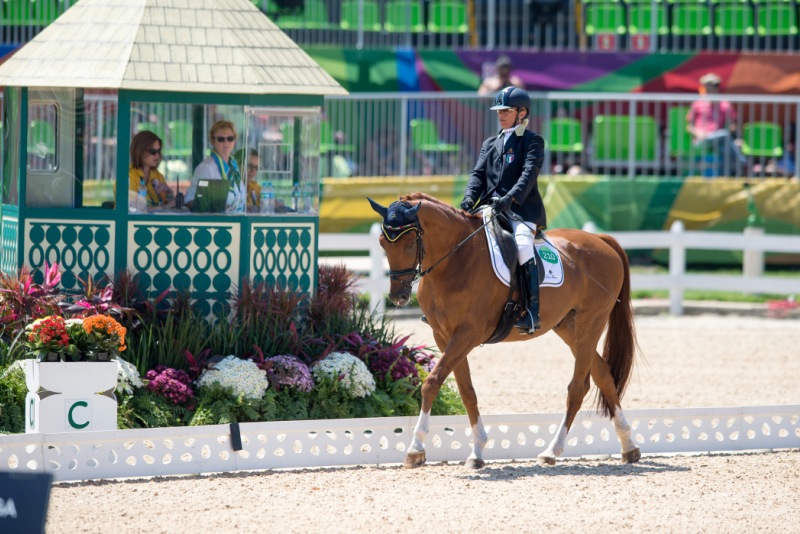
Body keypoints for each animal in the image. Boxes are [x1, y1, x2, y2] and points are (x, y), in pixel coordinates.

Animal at [370, 195, 644, 472]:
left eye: (408, 242)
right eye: (382, 242)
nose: (398, 296)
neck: (455, 260)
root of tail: (600, 239)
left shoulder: (467, 334)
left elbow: (432, 382)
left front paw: (415, 449)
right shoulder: (444, 336)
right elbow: (467, 391)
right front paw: (477, 451)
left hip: (591, 322)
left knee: (578, 387)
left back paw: (551, 451)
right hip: (569, 328)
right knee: (603, 375)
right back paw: (629, 446)